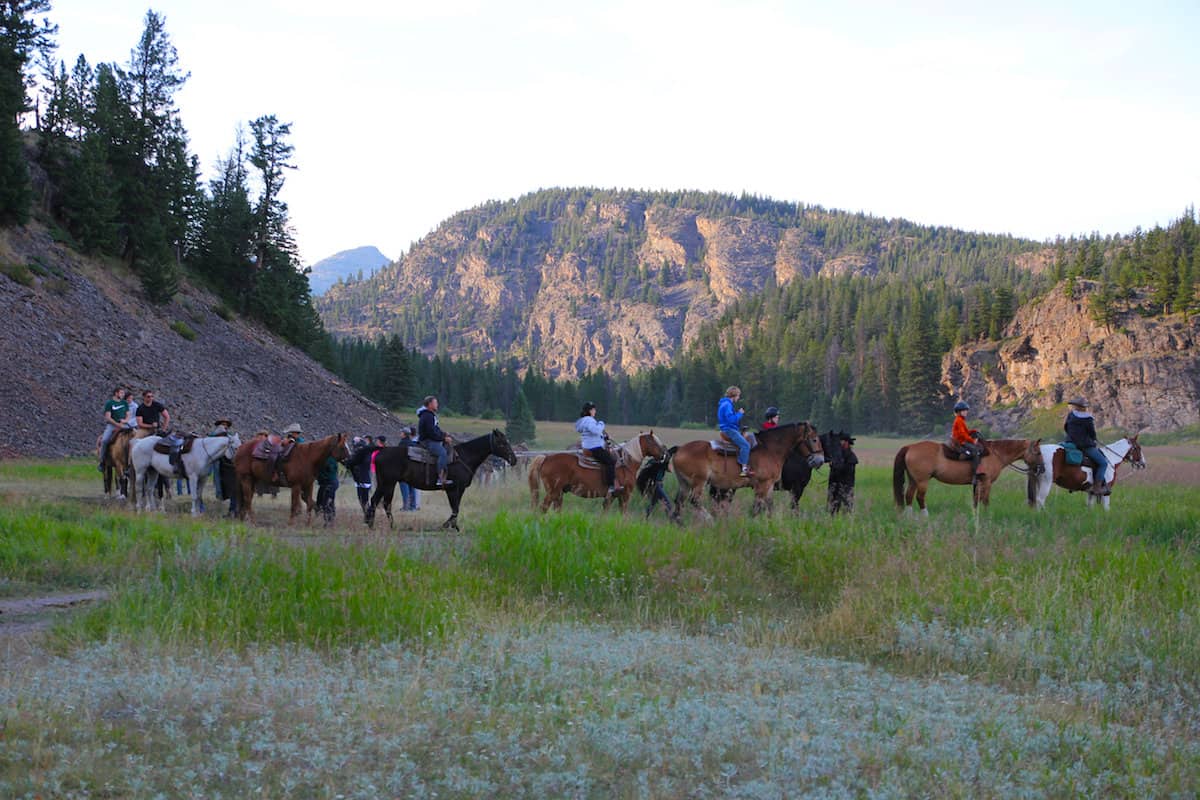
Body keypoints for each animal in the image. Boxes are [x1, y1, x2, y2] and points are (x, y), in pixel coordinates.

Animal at [362, 431, 518, 532]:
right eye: (503, 443)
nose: (514, 460)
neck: (464, 456)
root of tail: (381, 451)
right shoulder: (453, 489)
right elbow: (455, 508)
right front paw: (449, 526)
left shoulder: (459, 489)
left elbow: (456, 508)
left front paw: (452, 526)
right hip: (389, 483)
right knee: (384, 502)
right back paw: (389, 525)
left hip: (384, 483)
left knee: (376, 500)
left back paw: (372, 523)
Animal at [530, 431, 672, 513]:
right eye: (655, 442)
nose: (665, 454)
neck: (626, 462)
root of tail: (546, 458)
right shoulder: (625, 495)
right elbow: (623, 514)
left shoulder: (612, 497)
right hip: (553, 492)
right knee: (543, 508)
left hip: (559, 493)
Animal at [672, 419, 830, 520]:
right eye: (814, 439)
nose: (819, 460)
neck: (771, 449)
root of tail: (679, 448)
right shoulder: (765, 485)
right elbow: (758, 507)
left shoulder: (770, 485)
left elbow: (769, 505)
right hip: (699, 482)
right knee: (694, 500)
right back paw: (709, 519)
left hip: (685, 483)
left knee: (679, 502)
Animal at [892, 434, 1041, 515]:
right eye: (1038, 452)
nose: (1041, 469)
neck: (995, 454)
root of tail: (910, 447)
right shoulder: (986, 482)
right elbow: (985, 500)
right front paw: (987, 515)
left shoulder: (979, 483)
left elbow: (976, 499)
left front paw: (975, 514)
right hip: (922, 481)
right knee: (920, 497)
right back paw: (925, 516)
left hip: (913, 480)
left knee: (908, 496)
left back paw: (909, 516)